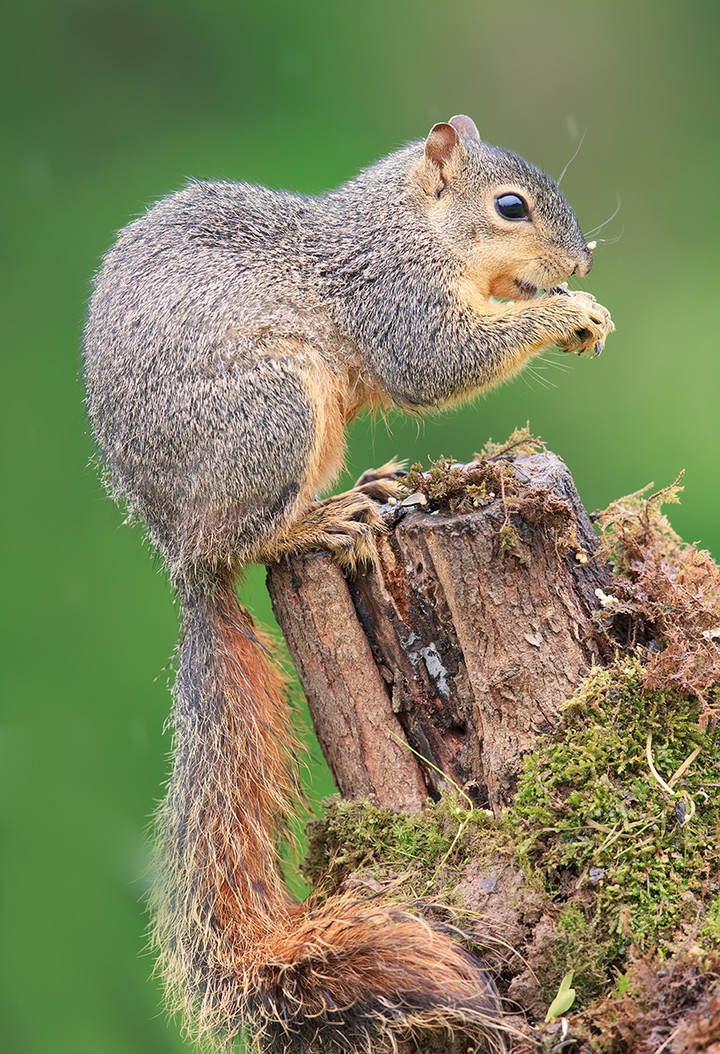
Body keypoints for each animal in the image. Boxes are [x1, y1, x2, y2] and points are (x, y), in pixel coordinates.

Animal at [83, 114, 614, 1053]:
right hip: (272, 414)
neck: (413, 228)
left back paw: (364, 490)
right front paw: (563, 314)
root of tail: (181, 552)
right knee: (253, 537)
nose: (580, 264)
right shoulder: (396, 302)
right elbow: (438, 361)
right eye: (511, 207)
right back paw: (318, 522)